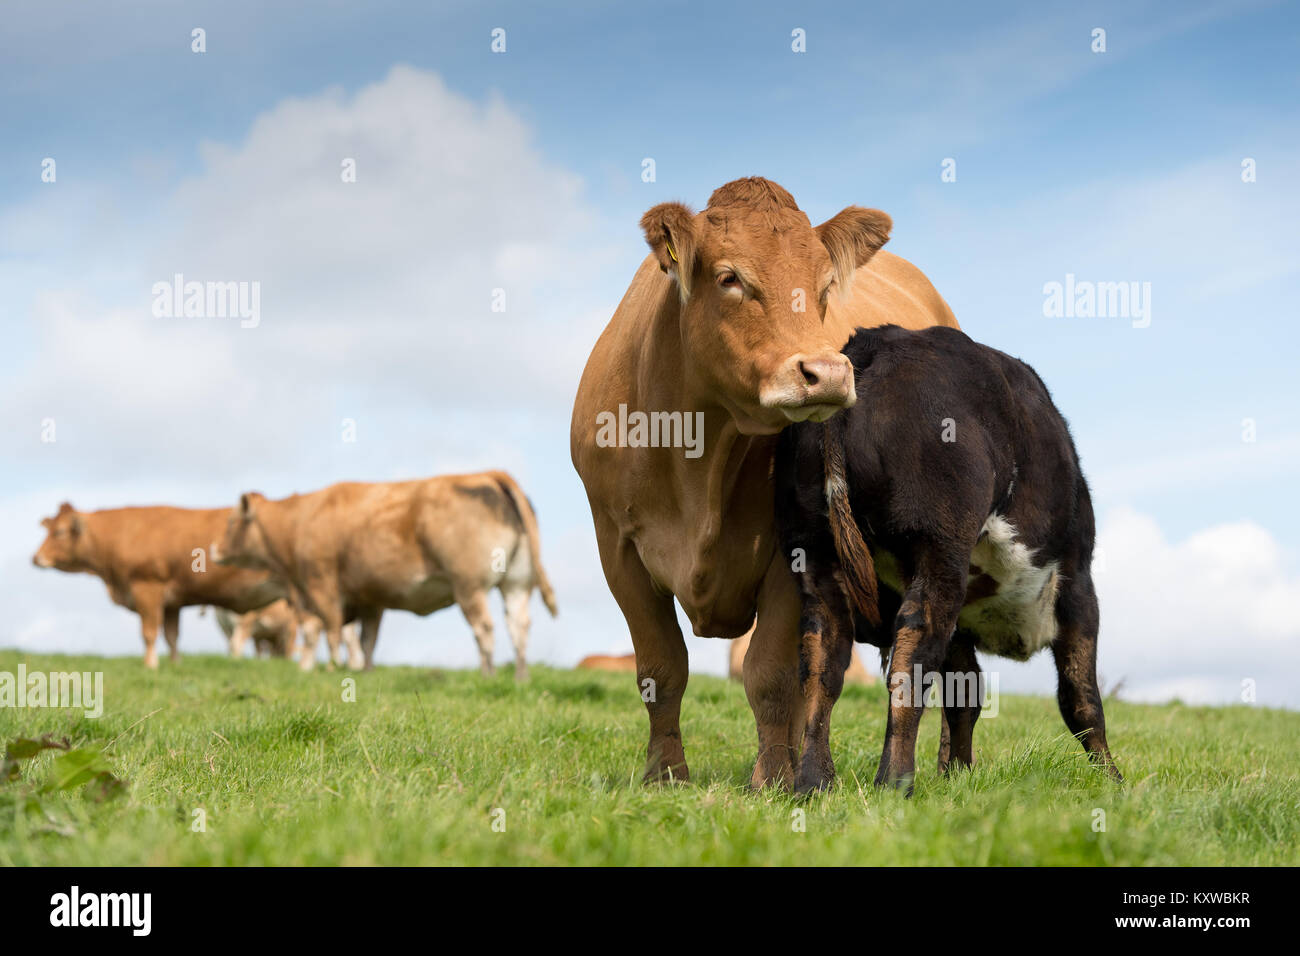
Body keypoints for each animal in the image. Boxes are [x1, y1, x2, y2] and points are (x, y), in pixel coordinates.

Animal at [34, 504, 287, 671]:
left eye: (59, 532)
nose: (35, 558)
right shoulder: (172, 603)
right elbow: (172, 636)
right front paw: (175, 664)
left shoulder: (147, 587)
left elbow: (149, 633)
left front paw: (150, 665)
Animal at [214, 470, 559, 681]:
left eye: (231, 523)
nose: (215, 550)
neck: (298, 522)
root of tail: (489, 475)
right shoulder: (370, 599)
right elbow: (367, 639)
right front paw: (365, 671)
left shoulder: (320, 584)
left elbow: (326, 630)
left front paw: (325, 666)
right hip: (516, 583)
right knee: (518, 626)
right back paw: (521, 677)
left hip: (469, 586)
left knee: (484, 628)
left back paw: (488, 673)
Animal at [569, 178, 956, 785]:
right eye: (730, 277)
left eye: (824, 285)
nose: (829, 372)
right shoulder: (618, 549)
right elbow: (660, 668)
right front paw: (665, 773)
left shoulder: (789, 551)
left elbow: (770, 674)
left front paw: (771, 777)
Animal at [774, 325, 1123, 796]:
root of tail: (875, 341)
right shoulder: (1077, 583)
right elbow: (1081, 698)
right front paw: (1113, 781)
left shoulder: (961, 626)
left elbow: (964, 695)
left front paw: (957, 774)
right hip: (939, 552)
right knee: (912, 656)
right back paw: (895, 782)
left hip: (813, 553)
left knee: (822, 662)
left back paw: (814, 783)